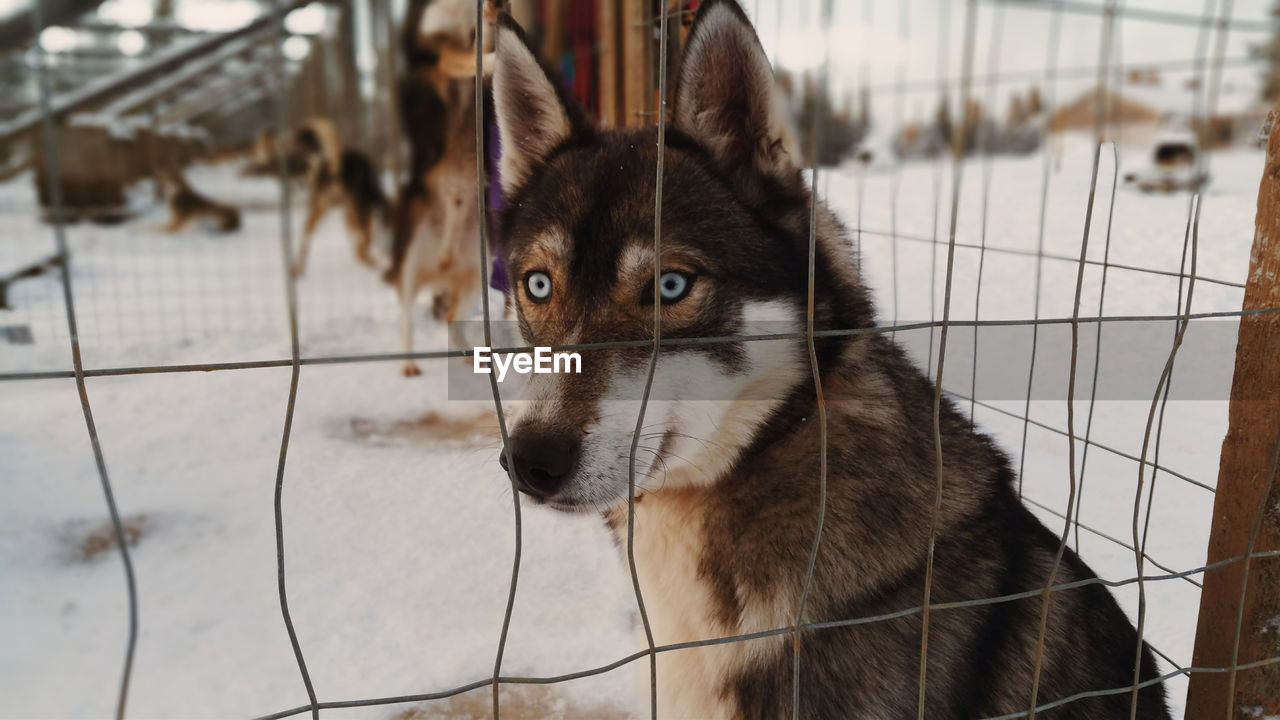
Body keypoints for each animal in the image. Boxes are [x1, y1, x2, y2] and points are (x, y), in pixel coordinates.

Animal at [290, 116, 389, 275]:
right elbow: (366, 239)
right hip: (349, 210)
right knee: (363, 242)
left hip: (328, 210)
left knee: (306, 234)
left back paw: (298, 267)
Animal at [381, 0, 501, 376]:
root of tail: (443, 266)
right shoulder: (435, 50)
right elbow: (469, 56)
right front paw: (493, 56)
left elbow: (483, 40)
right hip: (408, 264)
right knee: (406, 318)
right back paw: (407, 364)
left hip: (479, 271)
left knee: (450, 316)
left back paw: (471, 355)